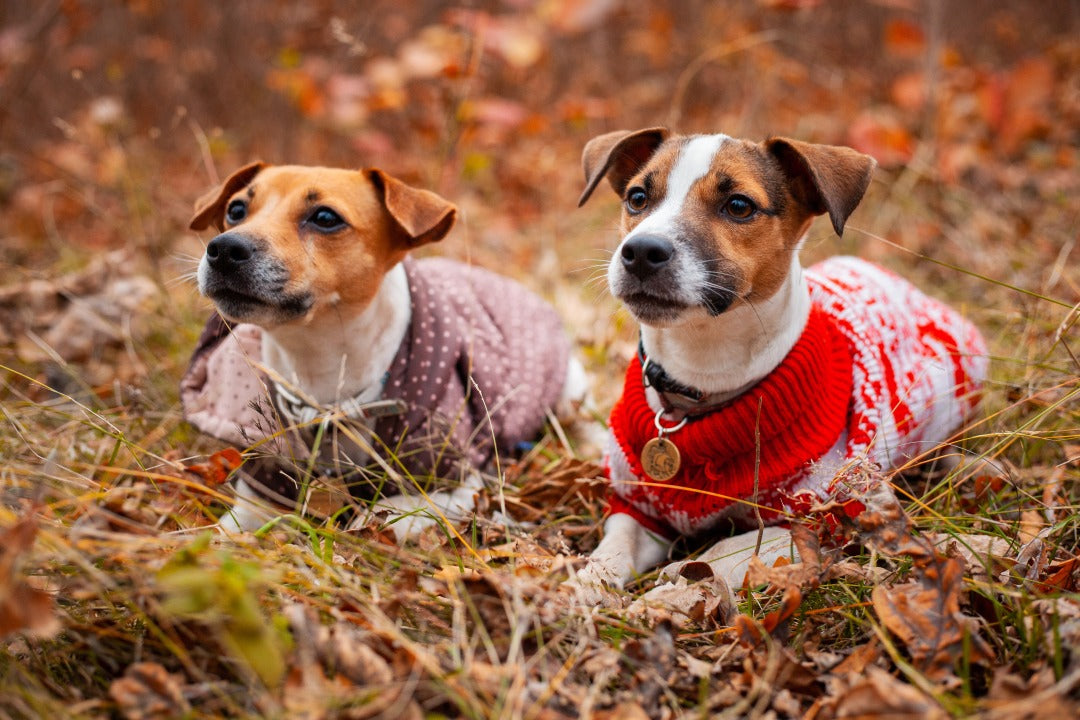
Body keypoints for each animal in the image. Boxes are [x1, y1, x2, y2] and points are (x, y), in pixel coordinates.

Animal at [181, 162, 587, 535]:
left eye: (325, 217)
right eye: (235, 210)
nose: (224, 248)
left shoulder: (454, 485)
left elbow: (385, 516)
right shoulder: (265, 480)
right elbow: (231, 530)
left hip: (571, 394)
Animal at [574, 127, 989, 595]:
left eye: (739, 205)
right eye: (638, 197)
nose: (642, 250)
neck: (699, 383)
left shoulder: (817, 520)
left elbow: (730, 549)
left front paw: (678, 585)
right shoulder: (637, 505)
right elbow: (617, 542)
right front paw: (587, 582)